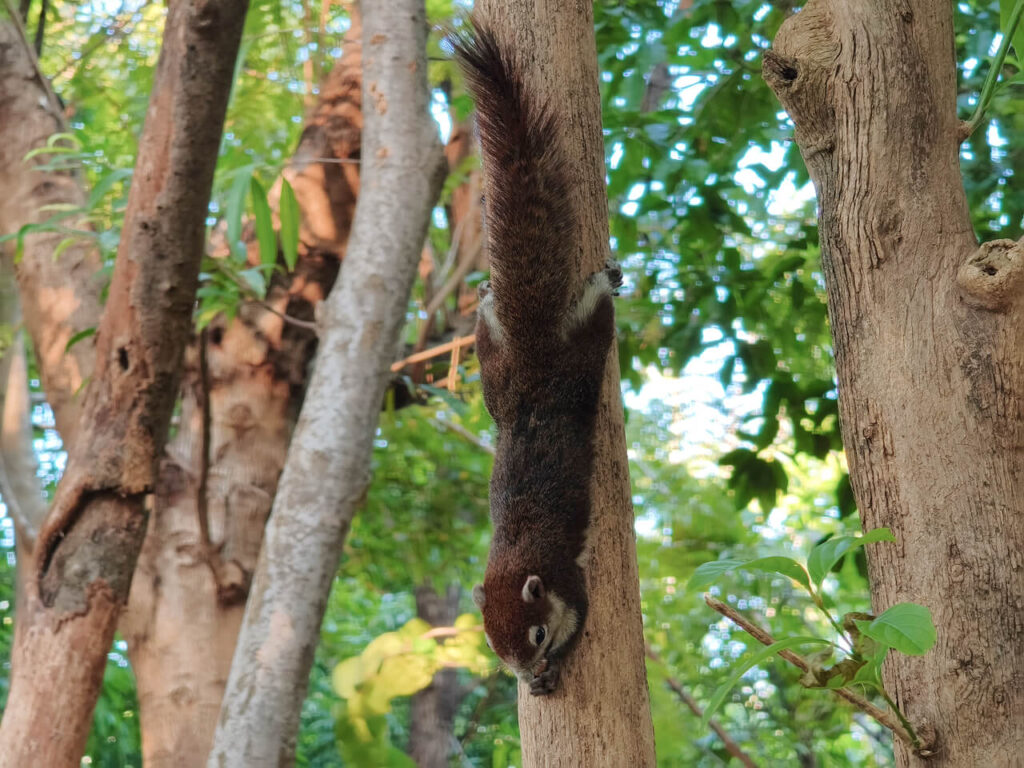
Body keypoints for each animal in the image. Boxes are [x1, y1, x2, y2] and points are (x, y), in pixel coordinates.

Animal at [451, 21, 622, 696]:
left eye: (538, 635)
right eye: (494, 649)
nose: (526, 673)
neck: (515, 559)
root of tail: (530, 355)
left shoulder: (570, 584)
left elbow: (585, 616)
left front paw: (555, 671)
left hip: (579, 362)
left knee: (596, 324)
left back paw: (603, 284)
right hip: (493, 373)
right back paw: (486, 302)